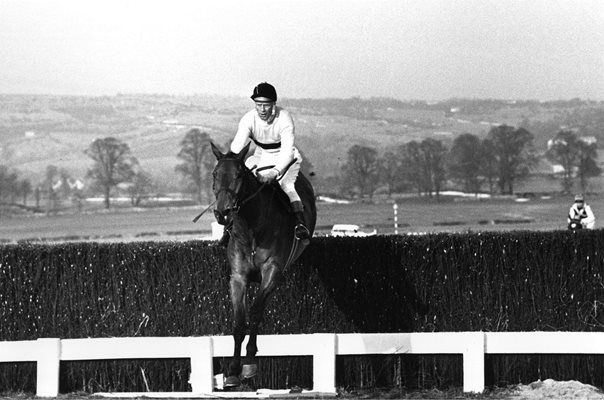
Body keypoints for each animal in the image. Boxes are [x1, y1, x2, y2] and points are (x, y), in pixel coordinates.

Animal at [211, 141, 318, 388]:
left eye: (239, 175)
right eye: (214, 174)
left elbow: (256, 312)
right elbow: (239, 322)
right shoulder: (238, 277)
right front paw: (233, 370)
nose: (222, 213)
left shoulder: (273, 271)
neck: (251, 229)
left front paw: (249, 362)